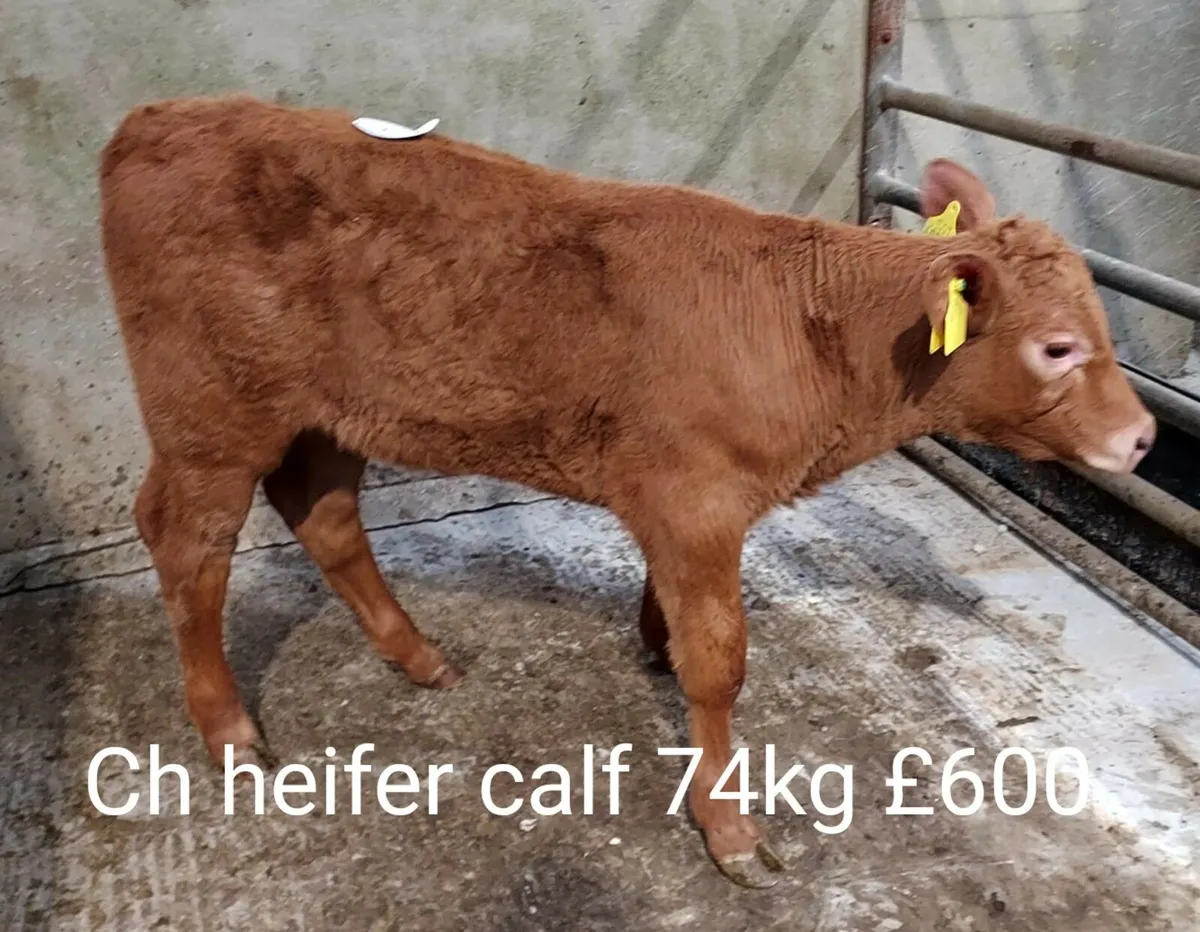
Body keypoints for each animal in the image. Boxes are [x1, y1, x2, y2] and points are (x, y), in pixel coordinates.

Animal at [97, 94, 1154, 888]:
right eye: (1058, 346)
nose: (1143, 437)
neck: (809, 327)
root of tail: (160, 116)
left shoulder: (682, 505)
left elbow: (676, 619)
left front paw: (654, 645)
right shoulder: (697, 499)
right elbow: (720, 663)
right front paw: (729, 830)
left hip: (324, 417)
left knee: (322, 515)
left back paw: (420, 658)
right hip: (210, 414)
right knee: (188, 542)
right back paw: (230, 731)